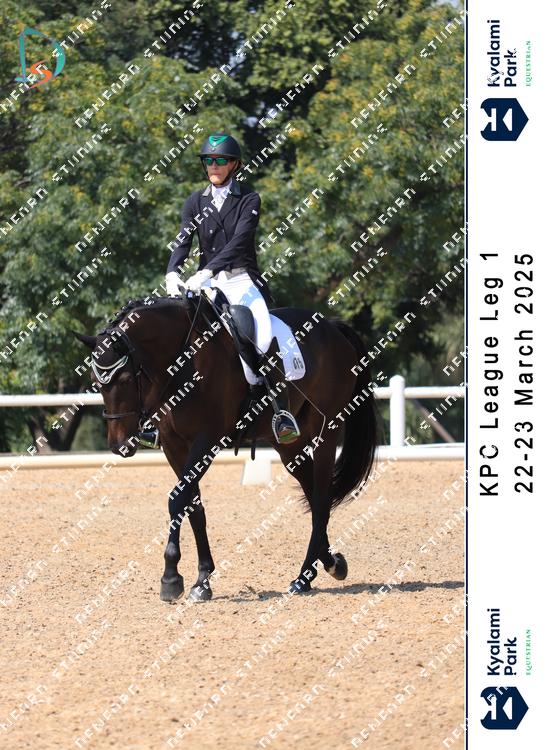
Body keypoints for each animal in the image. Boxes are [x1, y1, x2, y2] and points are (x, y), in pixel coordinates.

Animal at [73, 293, 378, 601]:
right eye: (96, 382)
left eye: (124, 379)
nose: (119, 445)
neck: (183, 362)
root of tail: (333, 327)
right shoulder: (173, 445)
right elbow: (193, 507)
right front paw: (202, 579)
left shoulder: (206, 440)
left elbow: (177, 500)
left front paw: (170, 578)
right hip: (289, 447)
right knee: (313, 493)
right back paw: (330, 564)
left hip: (327, 431)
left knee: (321, 496)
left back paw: (303, 578)